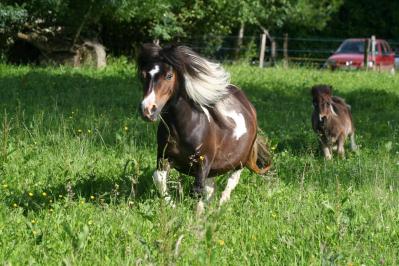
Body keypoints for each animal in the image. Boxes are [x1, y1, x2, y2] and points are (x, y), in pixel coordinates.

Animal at [138, 43, 272, 212]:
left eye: (169, 76)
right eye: (144, 75)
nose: (148, 110)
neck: (181, 128)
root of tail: (248, 105)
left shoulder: (203, 162)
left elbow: (197, 190)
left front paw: (197, 214)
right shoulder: (164, 156)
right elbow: (159, 179)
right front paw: (173, 206)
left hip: (240, 160)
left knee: (231, 182)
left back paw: (220, 206)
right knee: (211, 187)